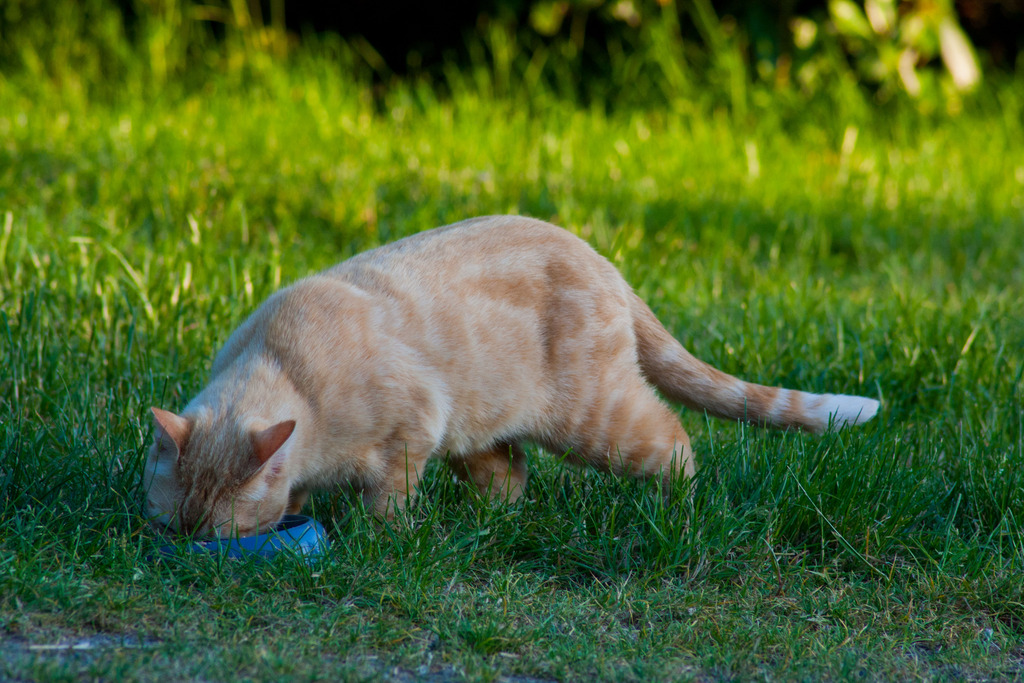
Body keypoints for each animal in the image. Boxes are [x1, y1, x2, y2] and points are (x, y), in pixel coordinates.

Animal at [144, 216, 880, 536]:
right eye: (175, 527)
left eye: (215, 535)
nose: (188, 551)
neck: (285, 366)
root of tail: (603, 260)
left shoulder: (412, 431)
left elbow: (387, 500)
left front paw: (384, 540)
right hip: (476, 433)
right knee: (512, 474)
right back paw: (485, 524)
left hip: (595, 422)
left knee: (674, 442)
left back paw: (680, 510)